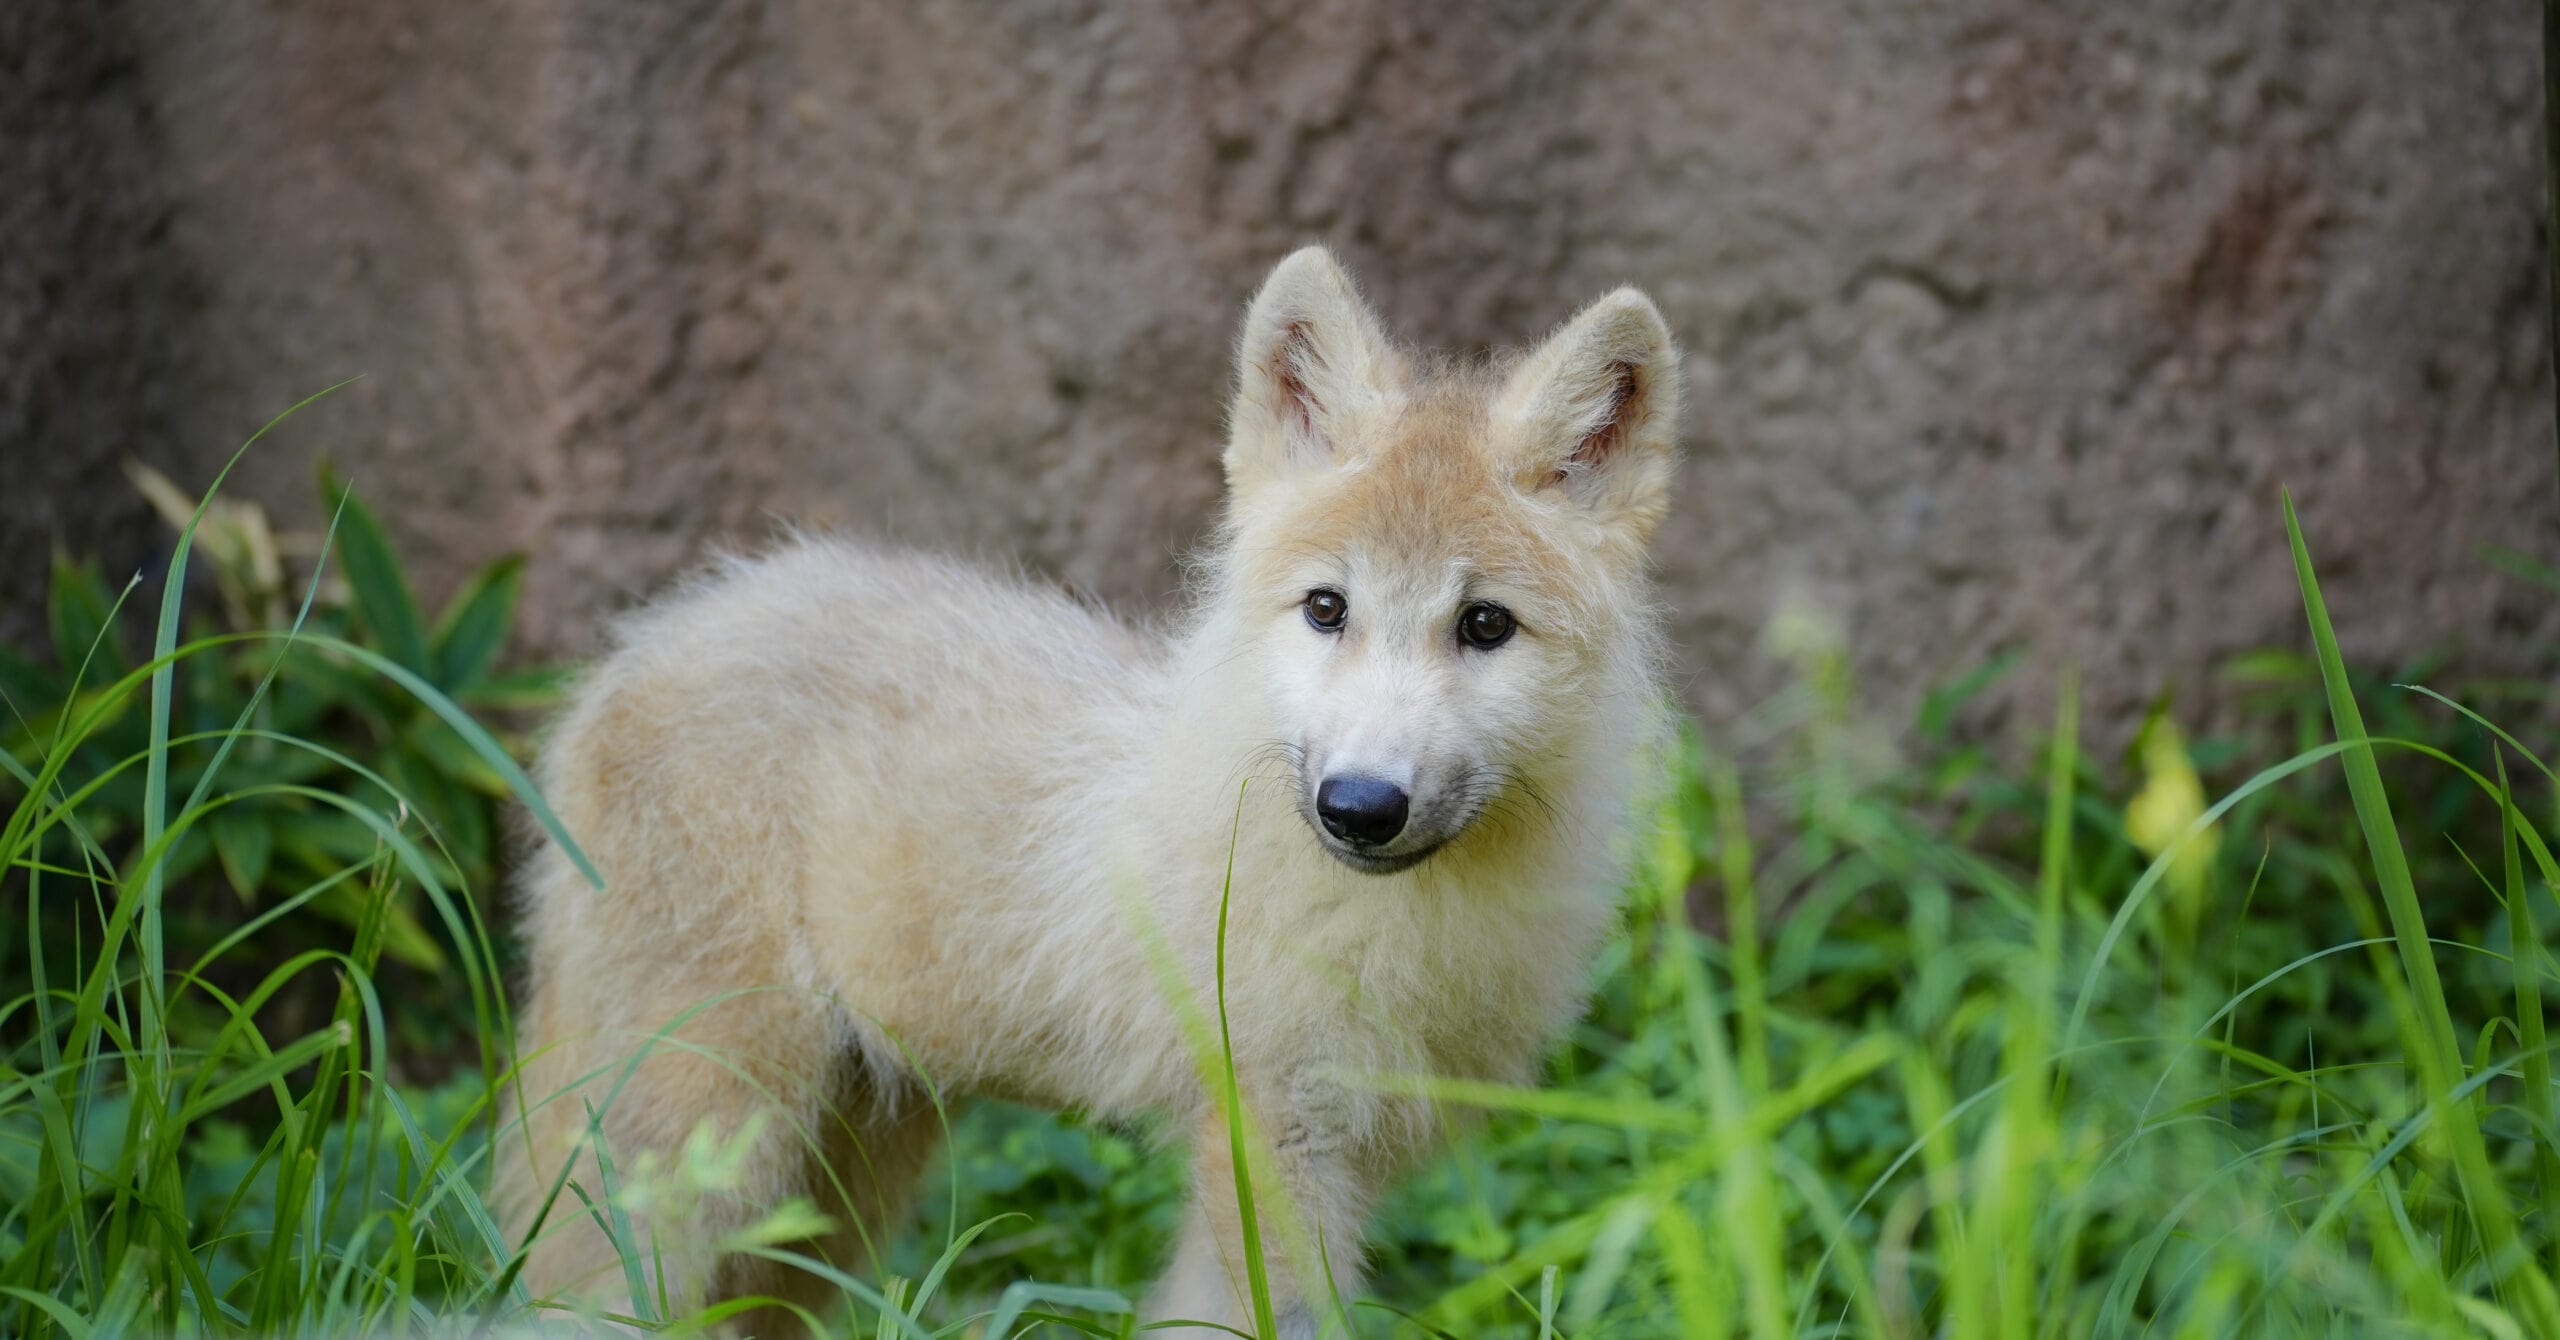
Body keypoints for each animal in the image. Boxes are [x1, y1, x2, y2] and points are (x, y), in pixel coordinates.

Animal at [496, 245, 1679, 1332]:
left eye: (1484, 624)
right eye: (1327, 608)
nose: (1359, 805)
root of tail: (641, 645)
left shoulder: (1348, 1157)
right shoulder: (1270, 1150)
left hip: (839, 1176)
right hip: (700, 1150)